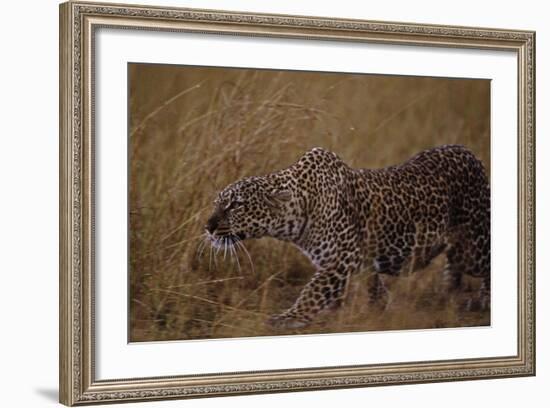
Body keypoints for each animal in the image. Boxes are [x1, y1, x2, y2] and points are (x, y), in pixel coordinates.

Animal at [203, 145, 492, 330]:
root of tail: (470, 154)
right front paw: (381, 308)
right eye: (217, 203)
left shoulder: (341, 258)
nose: (207, 226)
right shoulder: (357, 261)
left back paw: (483, 300)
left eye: (236, 205)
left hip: (472, 249)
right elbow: (372, 286)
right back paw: (448, 293)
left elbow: (313, 289)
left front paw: (290, 317)